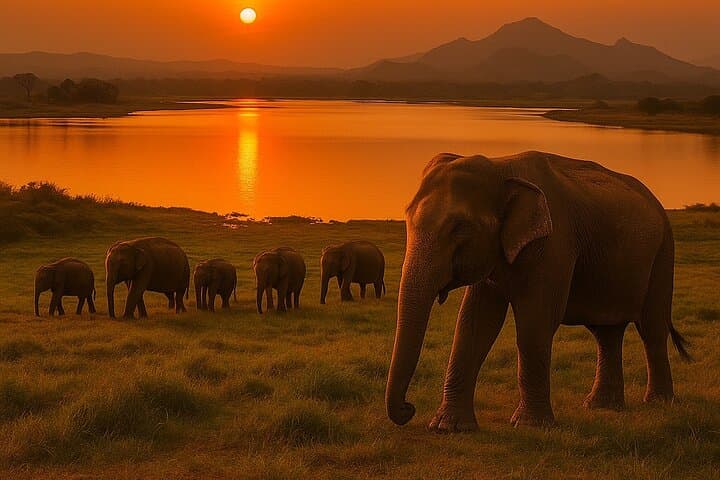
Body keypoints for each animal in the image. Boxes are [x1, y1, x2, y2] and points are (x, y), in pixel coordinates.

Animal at [386, 151, 690, 432]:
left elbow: (536, 320)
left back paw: (658, 403)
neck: (500, 167)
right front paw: (448, 427)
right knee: (607, 333)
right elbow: (474, 322)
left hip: (664, 253)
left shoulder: (555, 244)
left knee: (652, 328)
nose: (409, 408)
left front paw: (530, 425)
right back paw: (601, 406)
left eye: (460, 229)